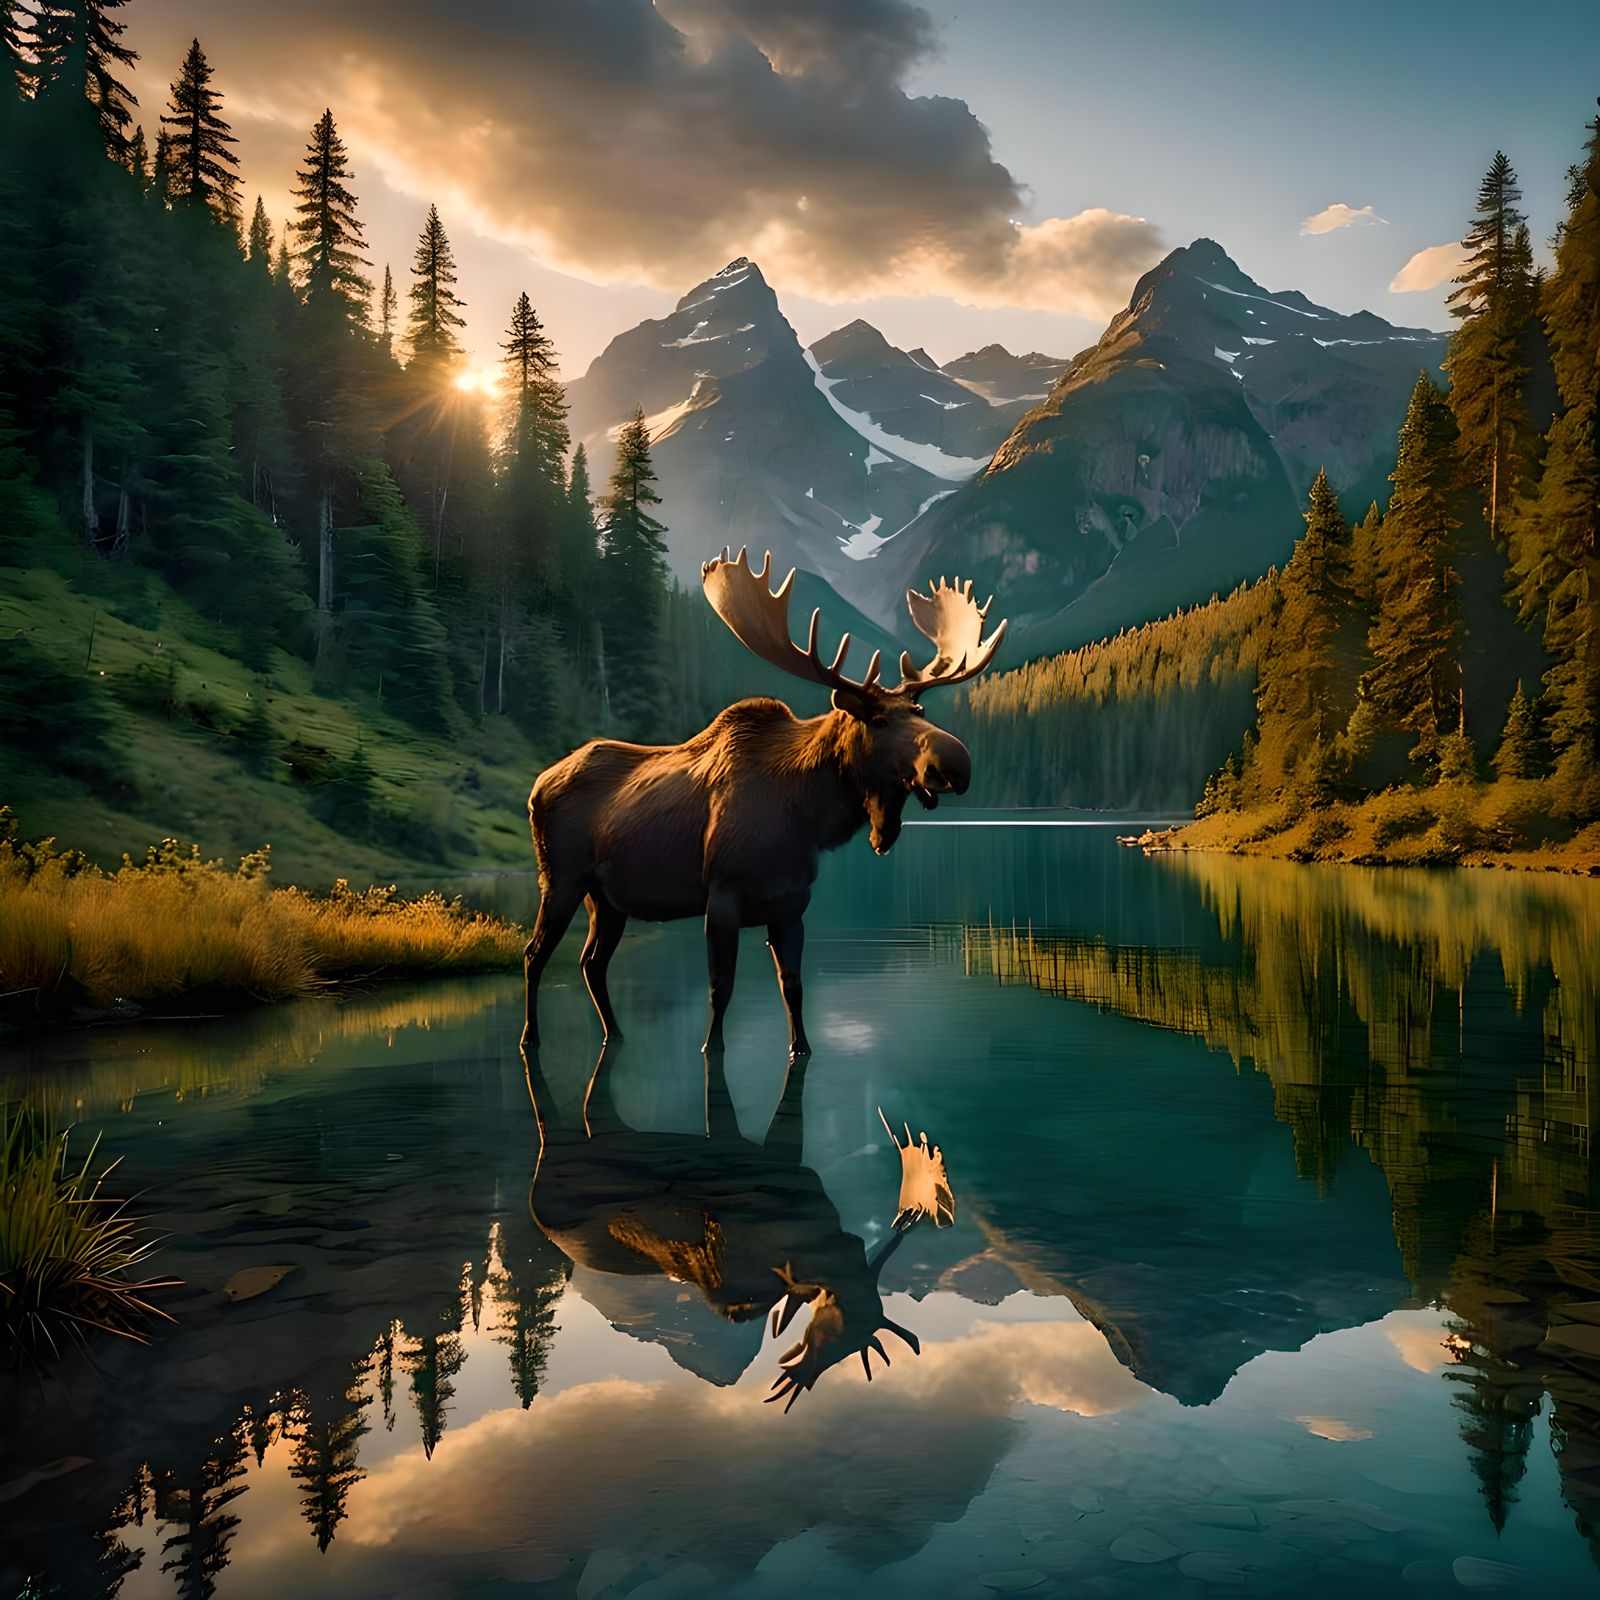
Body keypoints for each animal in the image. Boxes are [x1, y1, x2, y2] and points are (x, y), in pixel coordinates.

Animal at [523, 549, 1007, 1056]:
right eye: (876, 720)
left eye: (919, 711)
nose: (957, 762)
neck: (806, 813)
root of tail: (537, 785)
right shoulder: (722, 895)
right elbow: (720, 988)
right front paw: (710, 1049)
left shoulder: (790, 904)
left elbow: (792, 987)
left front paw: (802, 1048)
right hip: (560, 880)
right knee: (535, 954)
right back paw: (530, 1037)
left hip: (607, 898)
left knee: (591, 961)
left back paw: (613, 1033)